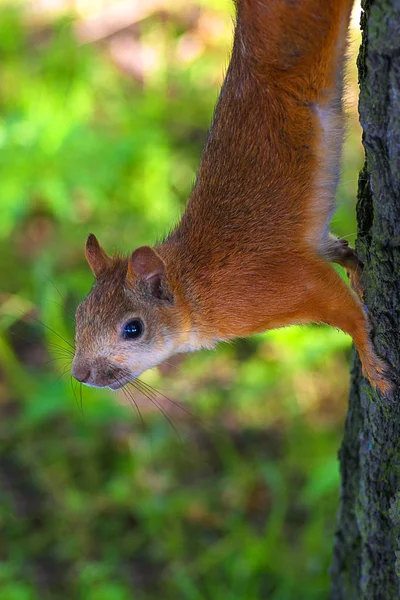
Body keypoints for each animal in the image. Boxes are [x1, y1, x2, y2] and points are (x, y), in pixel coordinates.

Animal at [72, 0, 394, 396]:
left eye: (133, 328)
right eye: (79, 314)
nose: (79, 374)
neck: (194, 289)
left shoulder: (292, 283)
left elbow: (347, 314)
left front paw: (372, 365)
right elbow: (338, 249)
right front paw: (356, 268)